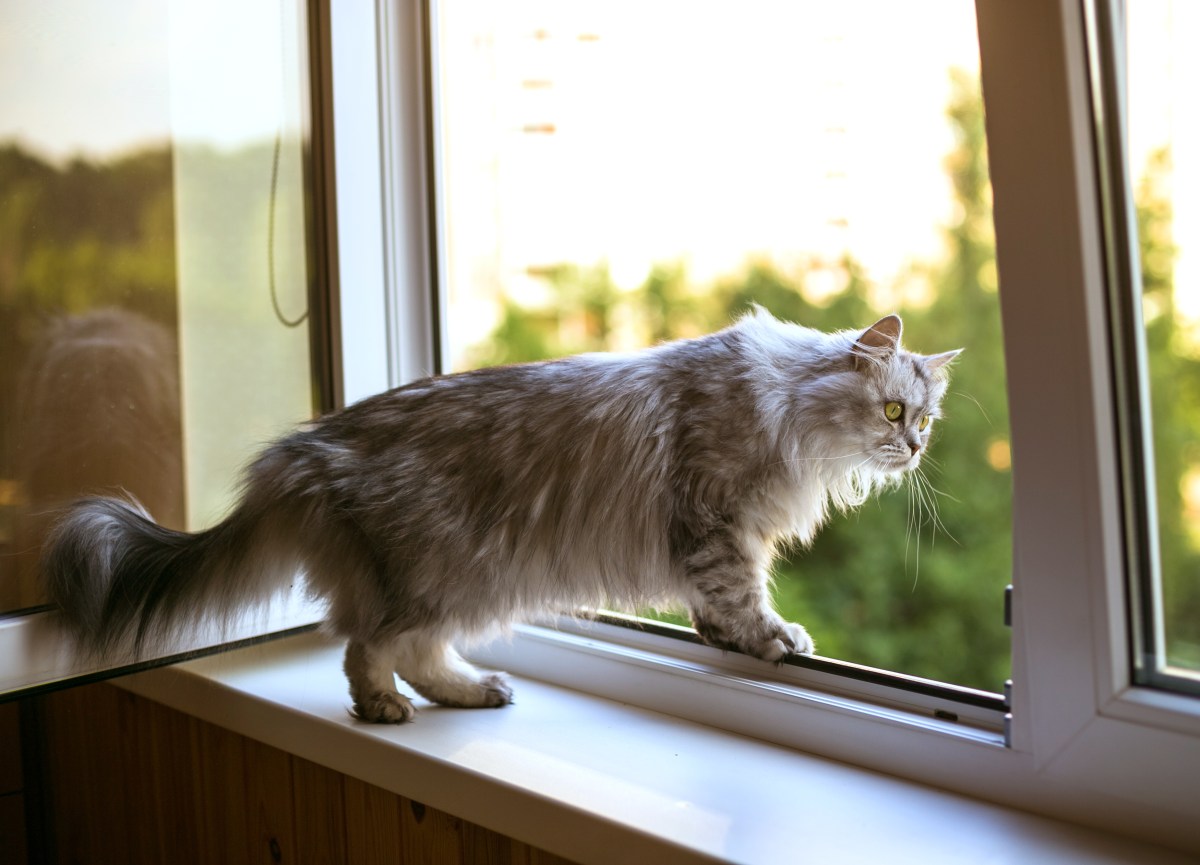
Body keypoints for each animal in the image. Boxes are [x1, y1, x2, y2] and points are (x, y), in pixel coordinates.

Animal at [46, 309, 960, 719]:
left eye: (926, 417)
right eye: (891, 411)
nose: (916, 447)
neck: (785, 410)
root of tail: (305, 449)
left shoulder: (719, 535)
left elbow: (714, 605)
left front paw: (723, 638)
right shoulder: (715, 520)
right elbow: (743, 596)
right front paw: (772, 638)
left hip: (459, 581)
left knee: (412, 651)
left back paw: (471, 690)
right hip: (449, 570)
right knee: (367, 647)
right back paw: (386, 707)